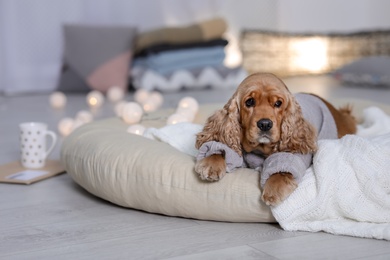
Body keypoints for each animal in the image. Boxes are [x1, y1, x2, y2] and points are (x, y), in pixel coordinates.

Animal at [195, 72, 356, 206]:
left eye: (278, 103)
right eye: (249, 102)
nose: (265, 124)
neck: (260, 150)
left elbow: (282, 169)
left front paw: (274, 189)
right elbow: (223, 149)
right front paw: (211, 163)